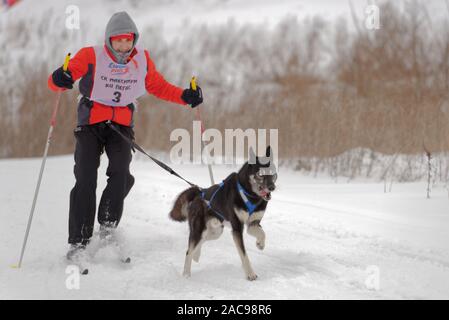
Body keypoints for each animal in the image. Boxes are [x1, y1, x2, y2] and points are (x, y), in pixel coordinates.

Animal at [169, 146, 276, 280]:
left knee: (201, 241)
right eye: (260, 174)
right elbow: (244, 254)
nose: (272, 187)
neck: (250, 195)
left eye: (273, 173)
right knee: (189, 250)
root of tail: (200, 193)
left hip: (216, 232)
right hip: (200, 229)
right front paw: (250, 274)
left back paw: (196, 255)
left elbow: (261, 233)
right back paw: (186, 274)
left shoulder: (253, 223)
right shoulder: (237, 228)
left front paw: (260, 244)